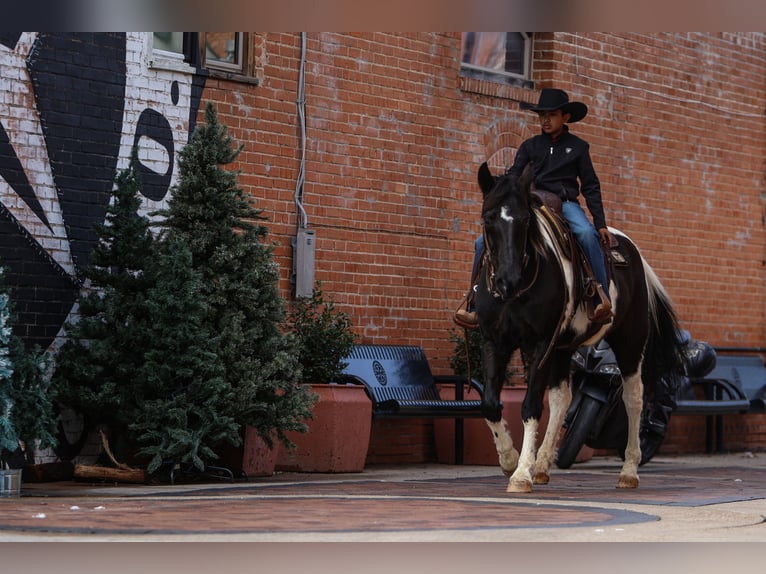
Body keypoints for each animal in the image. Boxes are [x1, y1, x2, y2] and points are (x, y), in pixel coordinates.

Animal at [474, 163, 684, 496]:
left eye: (525, 220)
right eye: (488, 218)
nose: (508, 280)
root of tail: (631, 250)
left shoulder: (540, 343)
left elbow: (531, 405)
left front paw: (520, 473)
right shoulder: (494, 340)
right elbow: (491, 404)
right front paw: (509, 459)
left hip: (629, 342)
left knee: (633, 398)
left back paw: (628, 471)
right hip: (564, 348)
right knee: (562, 398)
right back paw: (543, 465)